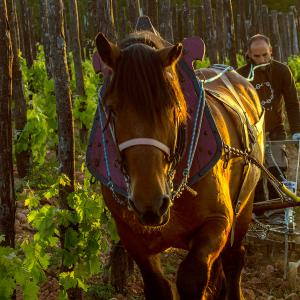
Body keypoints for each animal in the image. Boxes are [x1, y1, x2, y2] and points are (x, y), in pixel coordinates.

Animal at [95, 31, 264, 300]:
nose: (150, 202)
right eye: (111, 109)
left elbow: (191, 276)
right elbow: (157, 286)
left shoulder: (219, 221)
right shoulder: (131, 235)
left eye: (172, 107)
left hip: (244, 206)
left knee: (234, 258)